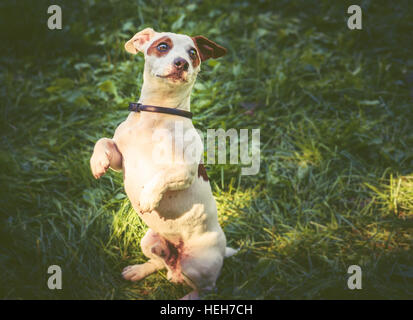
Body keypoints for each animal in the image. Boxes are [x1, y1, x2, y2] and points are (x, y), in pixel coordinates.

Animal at [91, 28, 237, 300]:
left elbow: (162, 177)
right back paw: (140, 269)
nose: (182, 63)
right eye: (162, 46)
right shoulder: (121, 161)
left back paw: (189, 296)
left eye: (193, 53)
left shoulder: (184, 171)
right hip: (149, 240)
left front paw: (148, 197)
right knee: (161, 261)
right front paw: (97, 161)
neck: (157, 115)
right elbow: (103, 141)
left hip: (196, 263)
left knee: (207, 287)